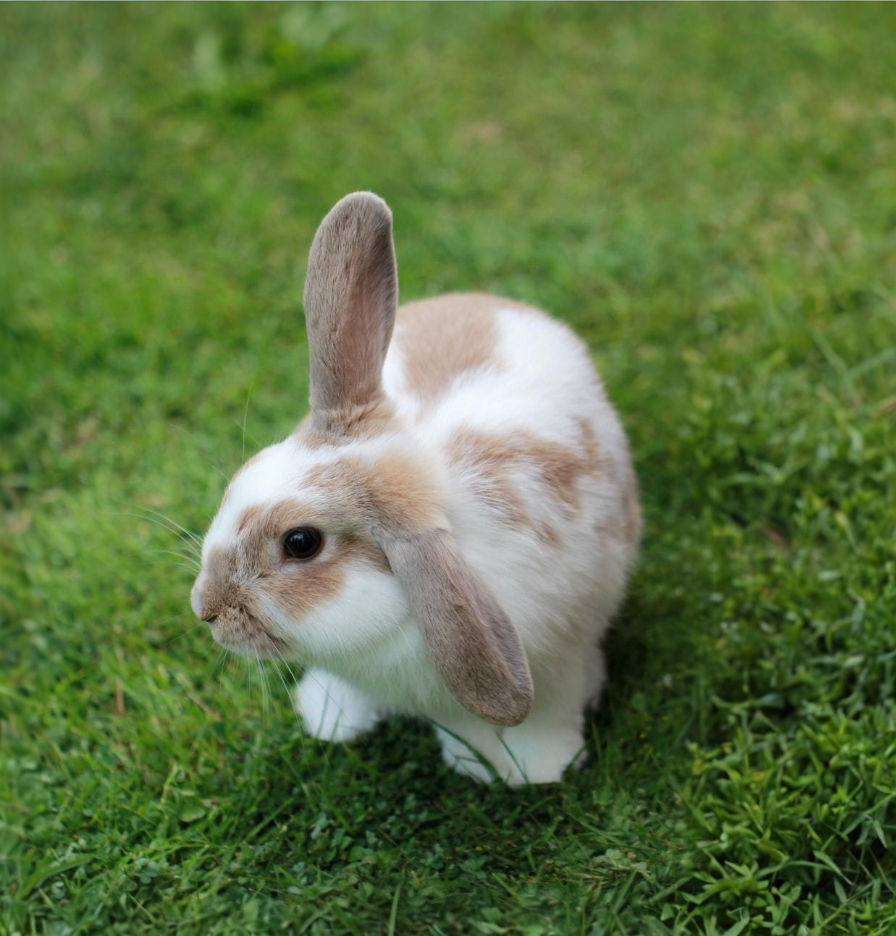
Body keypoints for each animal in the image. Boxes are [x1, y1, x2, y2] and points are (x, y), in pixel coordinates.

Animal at [190, 192, 642, 785]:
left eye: (301, 543)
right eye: (245, 475)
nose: (205, 609)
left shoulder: (555, 660)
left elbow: (544, 714)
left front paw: (538, 768)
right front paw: (333, 719)